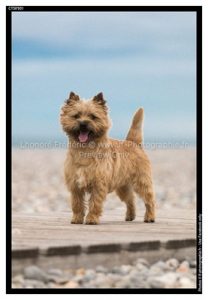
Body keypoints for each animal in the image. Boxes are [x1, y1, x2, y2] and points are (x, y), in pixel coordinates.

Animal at [59, 92, 155, 224]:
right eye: (76, 116)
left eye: (93, 117)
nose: (83, 123)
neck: (85, 150)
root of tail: (133, 143)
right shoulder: (75, 186)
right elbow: (77, 204)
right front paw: (77, 219)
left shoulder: (98, 185)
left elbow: (95, 203)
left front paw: (92, 219)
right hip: (123, 187)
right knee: (130, 200)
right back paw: (130, 216)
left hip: (142, 181)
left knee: (149, 199)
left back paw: (150, 217)